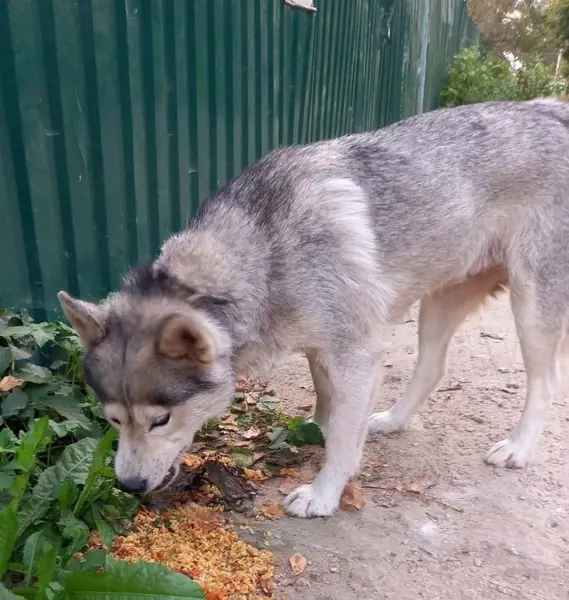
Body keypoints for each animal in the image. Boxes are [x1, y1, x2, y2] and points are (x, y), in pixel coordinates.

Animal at [58, 98, 569, 518]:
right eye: (113, 419)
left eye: (160, 419)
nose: (128, 485)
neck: (263, 256)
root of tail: (552, 108)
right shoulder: (322, 352)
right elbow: (331, 409)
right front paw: (326, 436)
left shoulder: (355, 354)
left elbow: (342, 436)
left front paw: (324, 494)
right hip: (439, 306)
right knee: (431, 370)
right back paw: (393, 421)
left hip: (529, 307)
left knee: (544, 384)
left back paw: (518, 448)